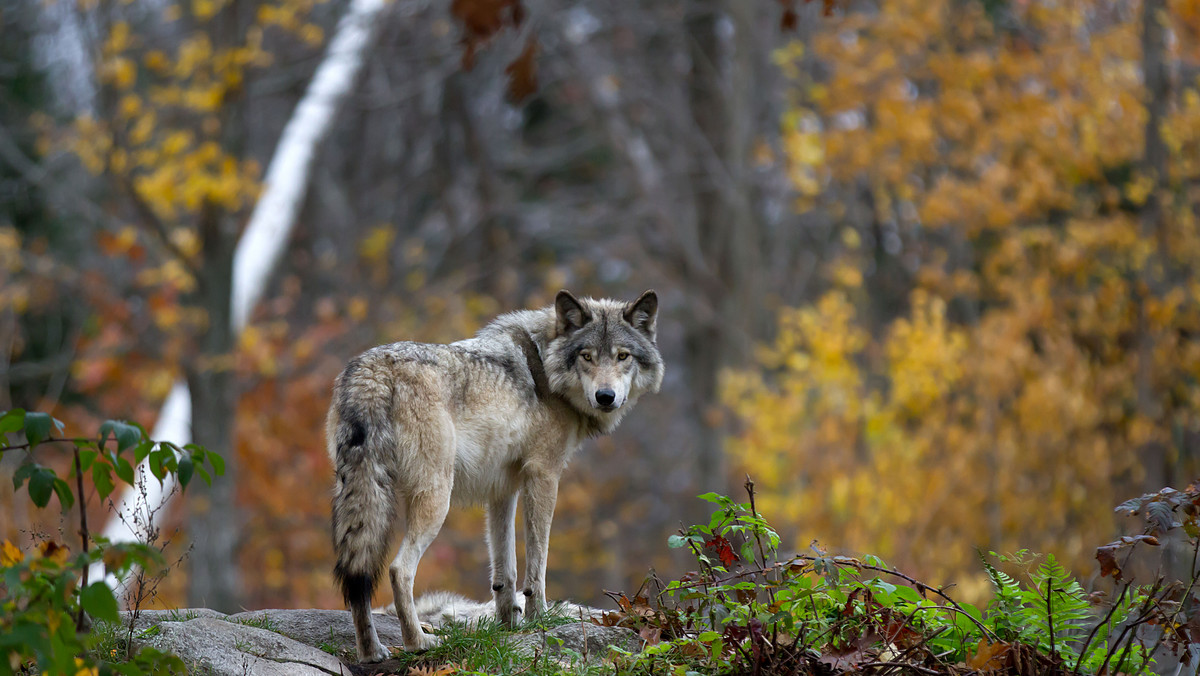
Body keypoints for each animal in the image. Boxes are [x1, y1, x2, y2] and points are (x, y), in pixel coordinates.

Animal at [328, 289, 667, 662]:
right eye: (587, 356)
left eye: (622, 356)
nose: (605, 397)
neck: (545, 367)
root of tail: (371, 371)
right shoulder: (544, 476)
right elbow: (537, 563)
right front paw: (539, 619)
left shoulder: (502, 490)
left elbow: (505, 569)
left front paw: (508, 626)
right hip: (436, 498)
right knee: (398, 569)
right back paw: (419, 642)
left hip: (361, 494)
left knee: (357, 575)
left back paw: (371, 652)